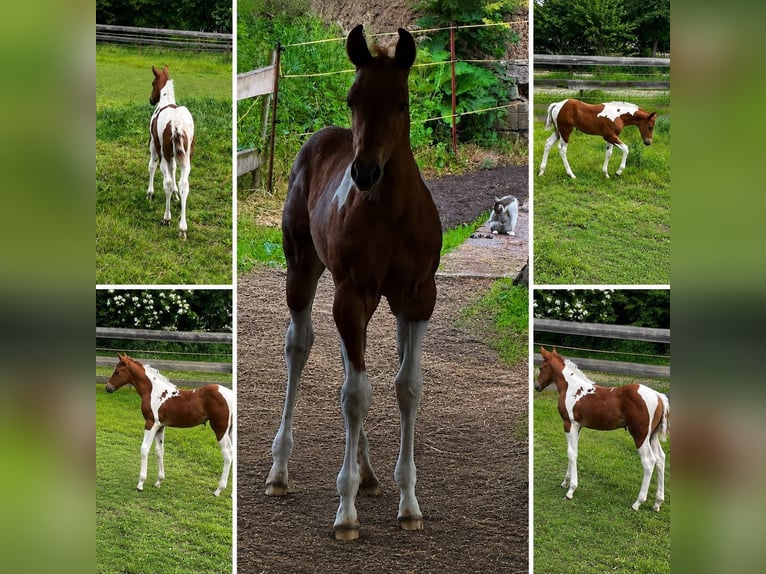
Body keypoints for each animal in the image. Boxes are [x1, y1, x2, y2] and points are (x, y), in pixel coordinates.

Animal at [105, 354, 234, 497]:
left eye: (117, 372)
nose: (108, 387)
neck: (153, 391)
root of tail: (230, 395)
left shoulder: (151, 423)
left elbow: (144, 449)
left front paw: (140, 483)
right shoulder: (160, 426)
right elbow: (159, 451)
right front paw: (159, 481)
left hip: (220, 429)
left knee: (228, 454)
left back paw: (218, 490)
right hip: (230, 430)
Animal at [147, 65, 195, 240]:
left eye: (153, 83)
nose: (151, 100)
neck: (166, 102)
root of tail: (176, 124)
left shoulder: (154, 145)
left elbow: (152, 166)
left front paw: (149, 193)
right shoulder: (176, 155)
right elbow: (174, 170)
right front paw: (176, 195)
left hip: (164, 153)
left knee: (166, 182)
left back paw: (167, 219)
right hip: (187, 156)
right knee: (184, 184)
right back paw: (183, 228)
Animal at [263, 25, 442, 540]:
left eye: (401, 102)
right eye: (352, 99)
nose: (364, 172)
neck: (391, 214)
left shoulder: (418, 299)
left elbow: (407, 387)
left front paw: (409, 503)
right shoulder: (352, 295)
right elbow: (356, 395)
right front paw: (345, 512)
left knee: (349, 364)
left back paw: (369, 475)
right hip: (304, 270)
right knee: (300, 346)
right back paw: (280, 471)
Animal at [535, 347, 669, 511]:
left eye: (541, 368)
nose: (537, 386)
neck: (572, 387)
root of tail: (658, 396)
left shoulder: (569, 423)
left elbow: (571, 453)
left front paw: (571, 490)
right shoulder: (578, 426)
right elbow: (573, 451)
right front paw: (565, 482)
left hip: (640, 435)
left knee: (649, 461)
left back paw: (637, 502)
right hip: (652, 436)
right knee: (661, 459)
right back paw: (657, 502)